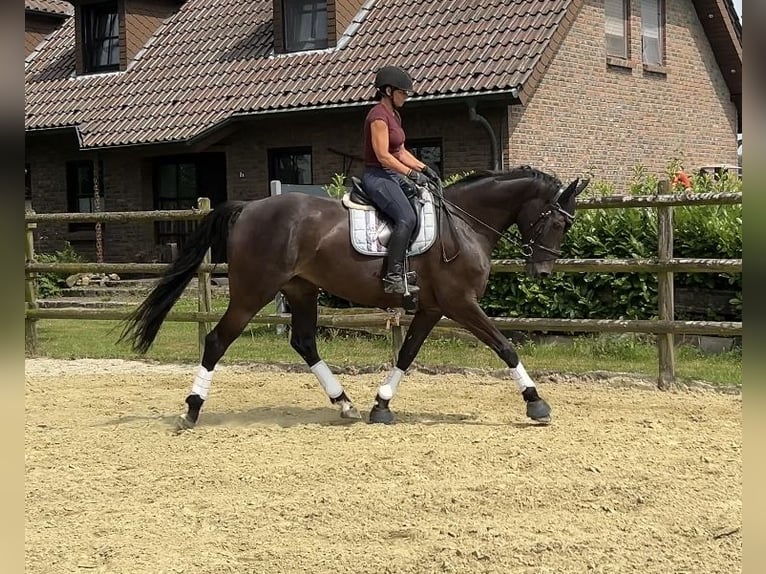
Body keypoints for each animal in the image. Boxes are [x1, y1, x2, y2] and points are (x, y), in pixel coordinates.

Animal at [120, 166, 592, 428]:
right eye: (559, 223)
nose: (542, 271)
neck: (465, 223)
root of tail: (249, 207)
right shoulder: (460, 303)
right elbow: (505, 346)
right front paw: (536, 403)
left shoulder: (434, 307)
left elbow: (407, 354)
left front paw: (380, 406)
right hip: (253, 292)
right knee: (218, 341)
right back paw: (192, 410)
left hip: (301, 289)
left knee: (304, 342)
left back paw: (344, 404)